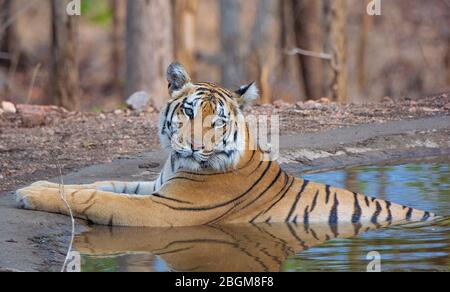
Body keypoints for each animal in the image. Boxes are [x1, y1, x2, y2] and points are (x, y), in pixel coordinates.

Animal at [15, 62, 438, 228]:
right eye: (187, 111)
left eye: (216, 121)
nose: (189, 146)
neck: (177, 164)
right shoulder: (156, 188)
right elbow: (99, 184)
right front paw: (41, 184)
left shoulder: (163, 210)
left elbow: (96, 197)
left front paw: (27, 193)